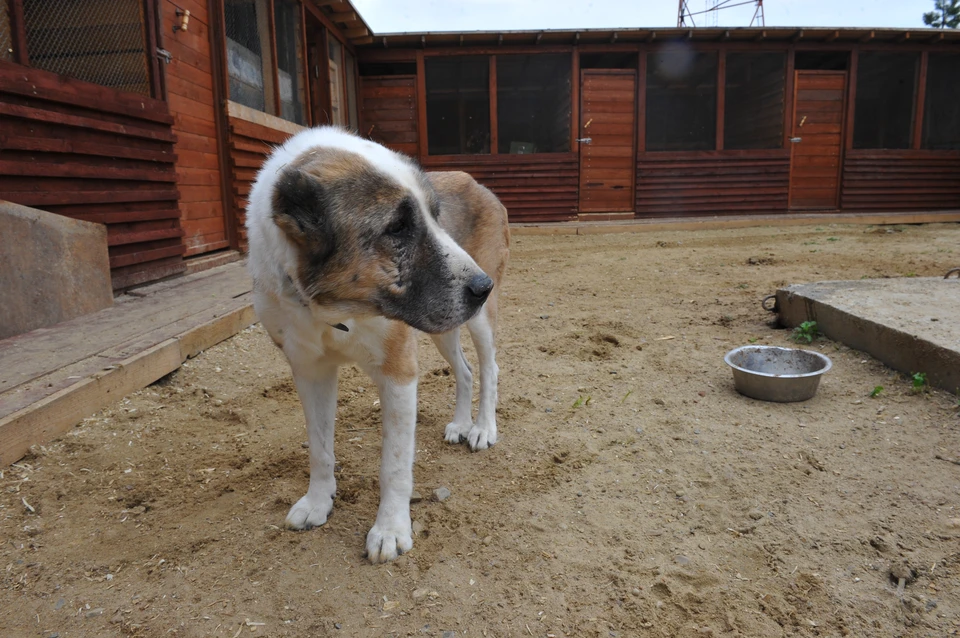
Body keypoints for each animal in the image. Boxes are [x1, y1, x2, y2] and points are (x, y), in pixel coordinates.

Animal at [246, 126, 510, 564]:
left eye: (436, 216)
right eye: (397, 228)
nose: (482, 286)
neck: (334, 307)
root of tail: (478, 183)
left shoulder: (398, 373)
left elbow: (395, 465)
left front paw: (390, 529)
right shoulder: (309, 371)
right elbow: (319, 448)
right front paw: (318, 502)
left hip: (477, 320)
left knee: (488, 368)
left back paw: (482, 428)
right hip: (442, 326)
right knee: (466, 370)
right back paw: (460, 423)